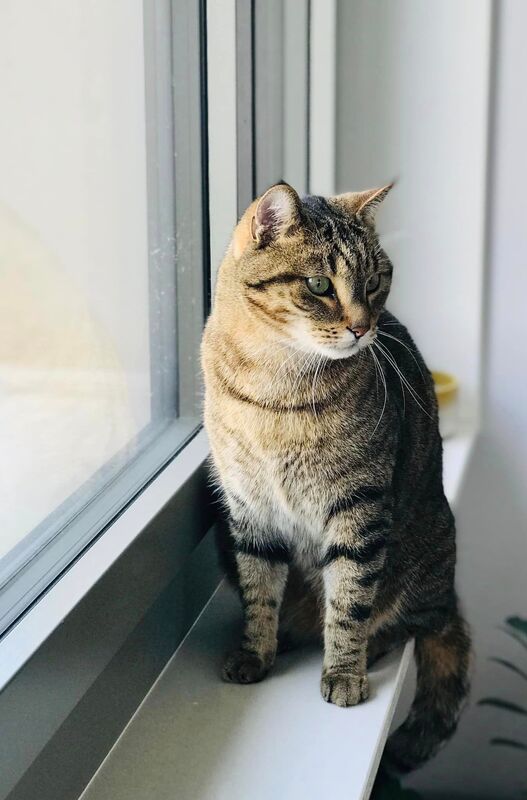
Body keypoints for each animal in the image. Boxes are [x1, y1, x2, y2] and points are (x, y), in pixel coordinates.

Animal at [201, 182, 470, 772]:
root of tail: (449, 597)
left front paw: (344, 672)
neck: (274, 387)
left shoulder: (358, 509)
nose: (362, 326)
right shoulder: (248, 510)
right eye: (319, 285)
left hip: (423, 557)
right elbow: (259, 591)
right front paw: (256, 651)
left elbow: (348, 600)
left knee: (400, 624)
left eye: (374, 281)